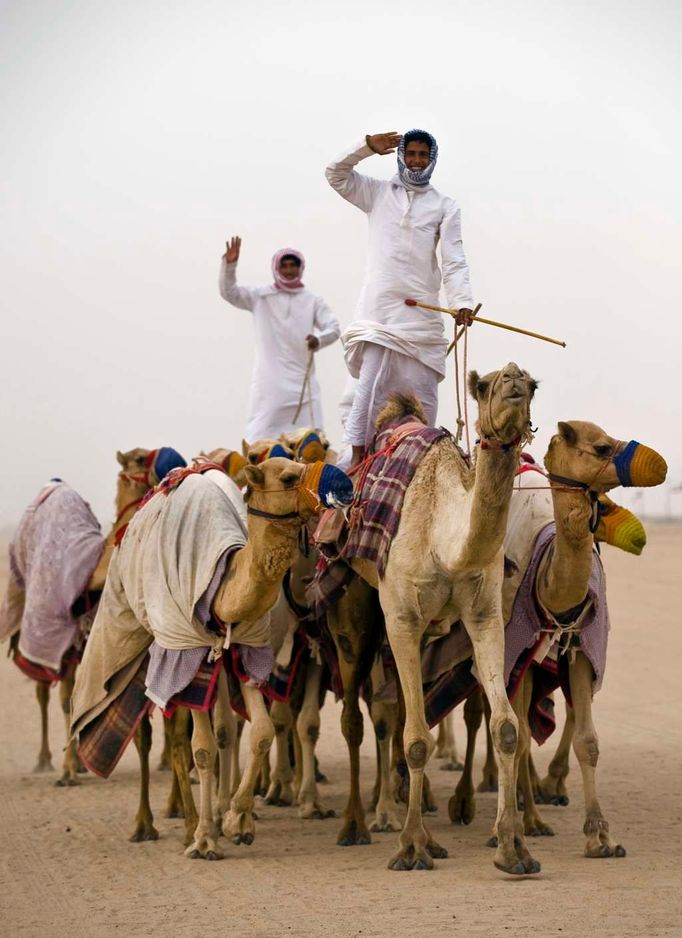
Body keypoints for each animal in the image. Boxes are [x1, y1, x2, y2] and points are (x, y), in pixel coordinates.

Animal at [322, 362, 540, 872]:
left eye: (532, 383)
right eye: (484, 385)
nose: (514, 378)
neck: (446, 542)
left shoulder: (484, 615)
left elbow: (505, 727)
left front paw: (512, 848)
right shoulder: (402, 616)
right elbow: (417, 736)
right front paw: (411, 847)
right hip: (357, 609)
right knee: (356, 717)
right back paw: (357, 825)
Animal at [446, 422, 664, 856]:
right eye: (602, 447)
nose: (659, 464)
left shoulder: (579, 649)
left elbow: (587, 740)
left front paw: (600, 835)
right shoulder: (516, 653)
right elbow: (518, 736)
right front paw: (512, 828)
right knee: (478, 714)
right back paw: (468, 799)